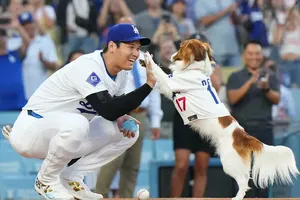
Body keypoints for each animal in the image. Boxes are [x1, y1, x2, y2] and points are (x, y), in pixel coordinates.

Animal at [142, 39, 298, 200]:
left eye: (180, 47)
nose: (171, 55)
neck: (195, 69)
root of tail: (243, 136)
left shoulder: (170, 83)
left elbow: (159, 72)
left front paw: (147, 57)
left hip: (229, 162)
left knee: (243, 181)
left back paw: (237, 197)